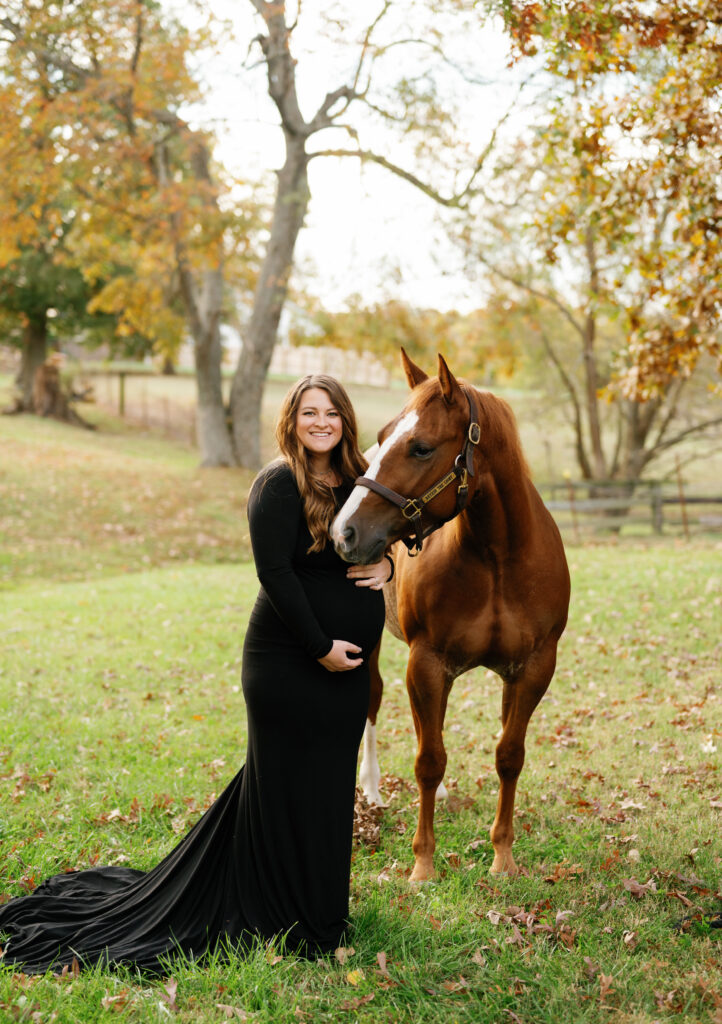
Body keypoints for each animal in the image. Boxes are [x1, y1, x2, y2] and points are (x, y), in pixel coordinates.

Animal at [331, 352, 569, 880]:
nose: (344, 532)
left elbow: (508, 755)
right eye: (382, 436)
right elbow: (428, 760)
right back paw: (372, 789)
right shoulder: (427, 661)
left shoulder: (532, 668)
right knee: (375, 700)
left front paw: (503, 857)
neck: (497, 559)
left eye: (421, 448)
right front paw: (423, 865)